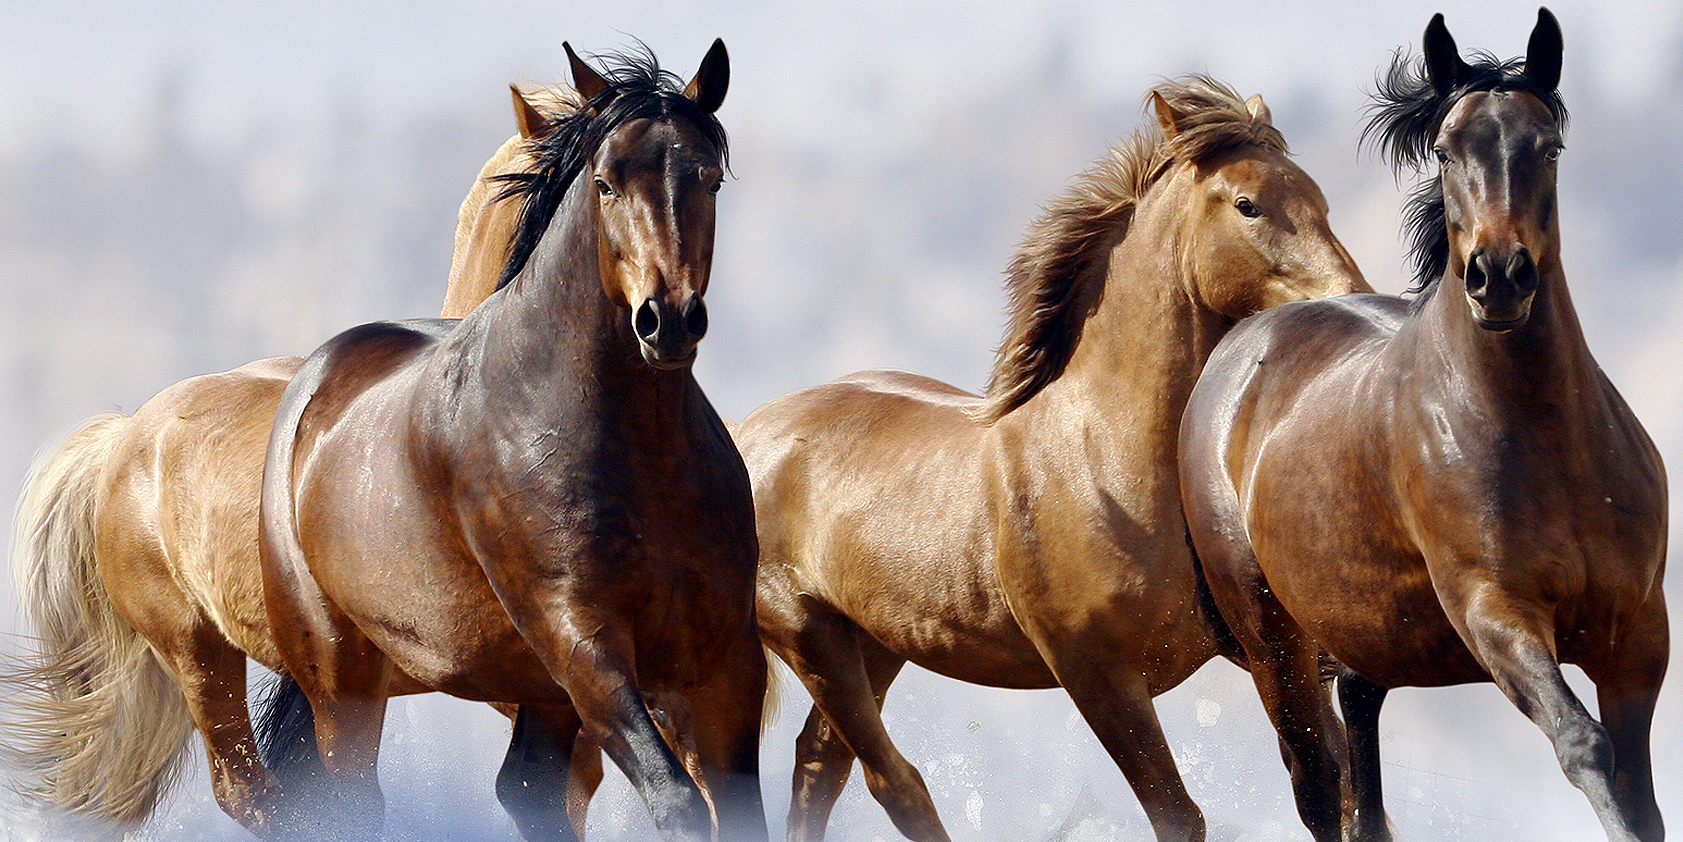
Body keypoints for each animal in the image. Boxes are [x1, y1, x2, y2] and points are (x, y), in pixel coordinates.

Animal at [257, 40, 768, 842]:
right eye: (605, 182)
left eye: (708, 178)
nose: (669, 319)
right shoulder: (584, 645)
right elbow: (678, 800)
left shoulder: (726, 661)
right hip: (342, 677)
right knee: (355, 800)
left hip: (536, 693)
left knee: (529, 786)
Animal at [730, 76, 1370, 842]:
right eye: (1248, 204)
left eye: (1319, 199)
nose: (1351, 303)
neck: (1106, 461)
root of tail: (745, 432)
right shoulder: (1097, 676)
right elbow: (1179, 815)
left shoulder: (1279, 650)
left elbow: (1330, 787)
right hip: (810, 635)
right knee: (892, 782)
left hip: (876, 642)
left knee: (818, 767)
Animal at [1178, 10, 1666, 842]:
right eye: (1444, 148)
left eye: (1548, 146)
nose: (1497, 277)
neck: (1548, 444)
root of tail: (1238, 351)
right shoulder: (1493, 613)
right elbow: (1583, 744)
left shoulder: (1635, 635)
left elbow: (1639, 790)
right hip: (1274, 645)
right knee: (1317, 785)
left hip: (1362, 636)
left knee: (1359, 751)